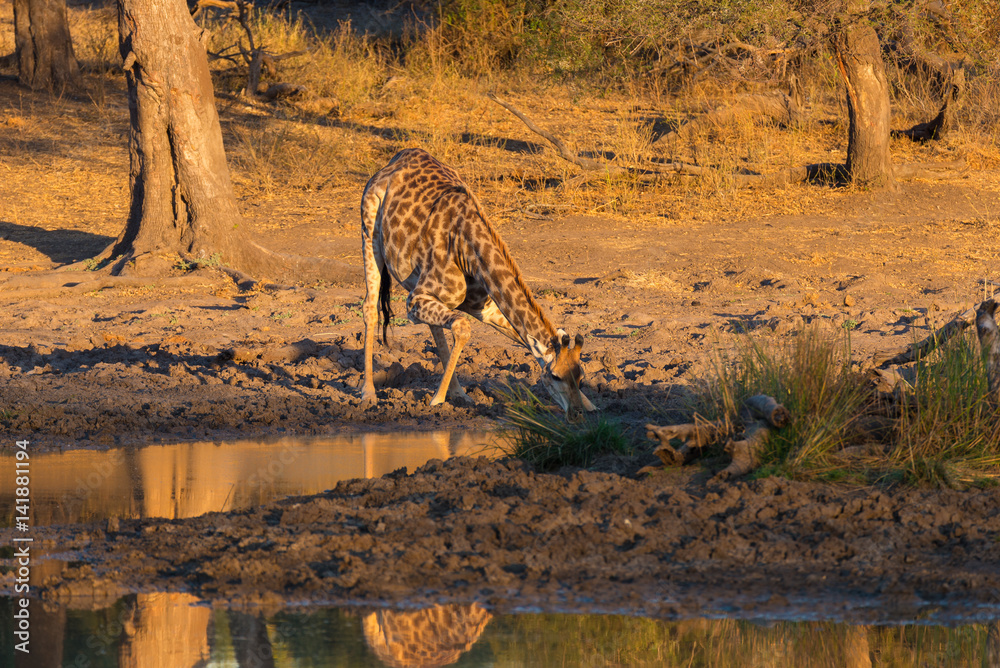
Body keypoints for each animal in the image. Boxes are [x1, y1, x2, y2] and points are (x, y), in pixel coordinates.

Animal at [360, 149, 592, 414]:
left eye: (580, 376)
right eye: (555, 376)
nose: (576, 413)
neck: (469, 251)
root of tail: (395, 159)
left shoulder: (485, 308)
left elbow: (519, 337)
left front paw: (591, 404)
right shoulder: (414, 300)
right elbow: (463, 327)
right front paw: (437, 400)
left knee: (434, 327)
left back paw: (459, 394)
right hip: (369, 233)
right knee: (370, 307)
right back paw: (368, 393)